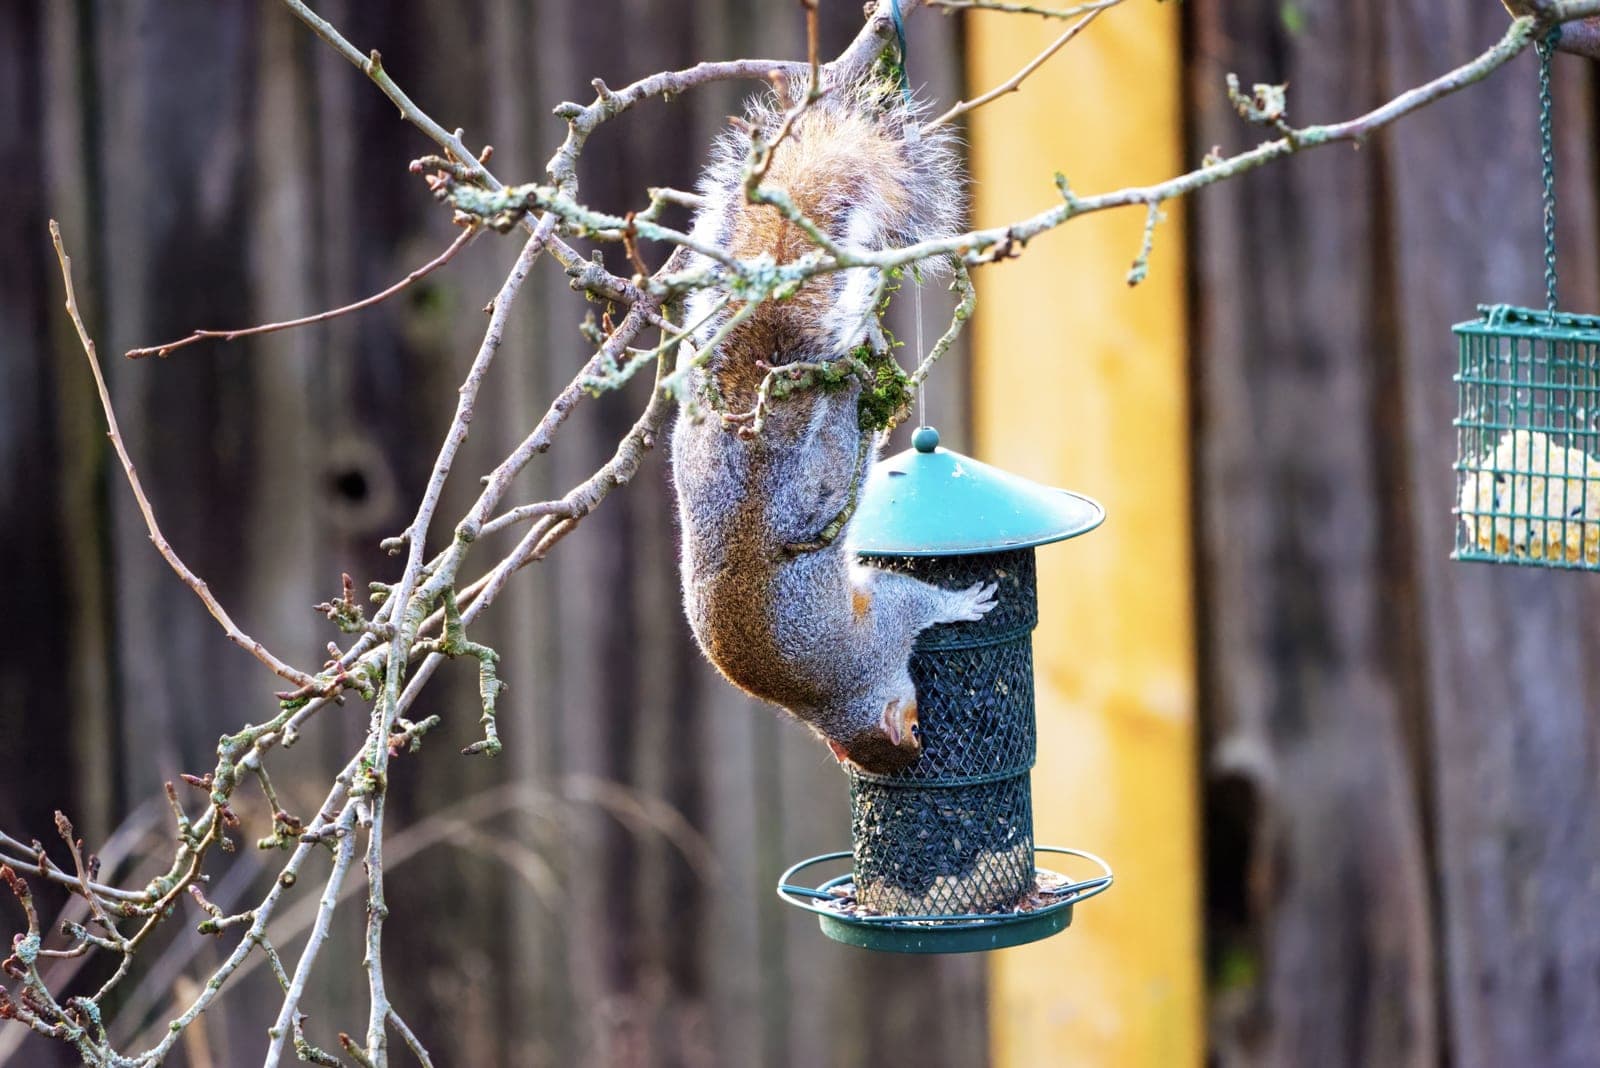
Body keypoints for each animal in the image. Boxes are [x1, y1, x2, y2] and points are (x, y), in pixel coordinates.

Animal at [671, 73, 997, 776]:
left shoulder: (878, 632)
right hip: (823, 447)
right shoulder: (881, 634)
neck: (837, 695)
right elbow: (914, 599)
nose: (918, 749)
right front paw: (967, 603)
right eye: (914, 729)